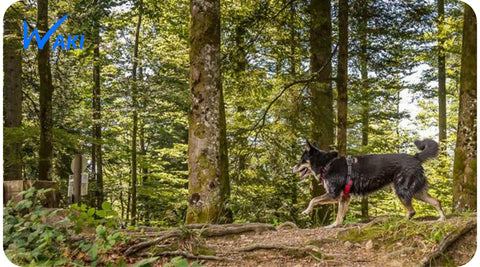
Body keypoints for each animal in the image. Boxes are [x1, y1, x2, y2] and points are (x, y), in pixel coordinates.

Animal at [292, 139, 446, 229]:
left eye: (301, 160)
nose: (292, 168)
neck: (326, 164)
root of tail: (416, 157)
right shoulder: (344, 198)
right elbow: (340, 216)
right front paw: (334, 225)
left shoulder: (333, 194)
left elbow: (314, 199)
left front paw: (306, 211)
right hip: (417, 192)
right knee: (436, 201)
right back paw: (441, 219)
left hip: (402, 190)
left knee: (412, 211)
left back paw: (401, 220)